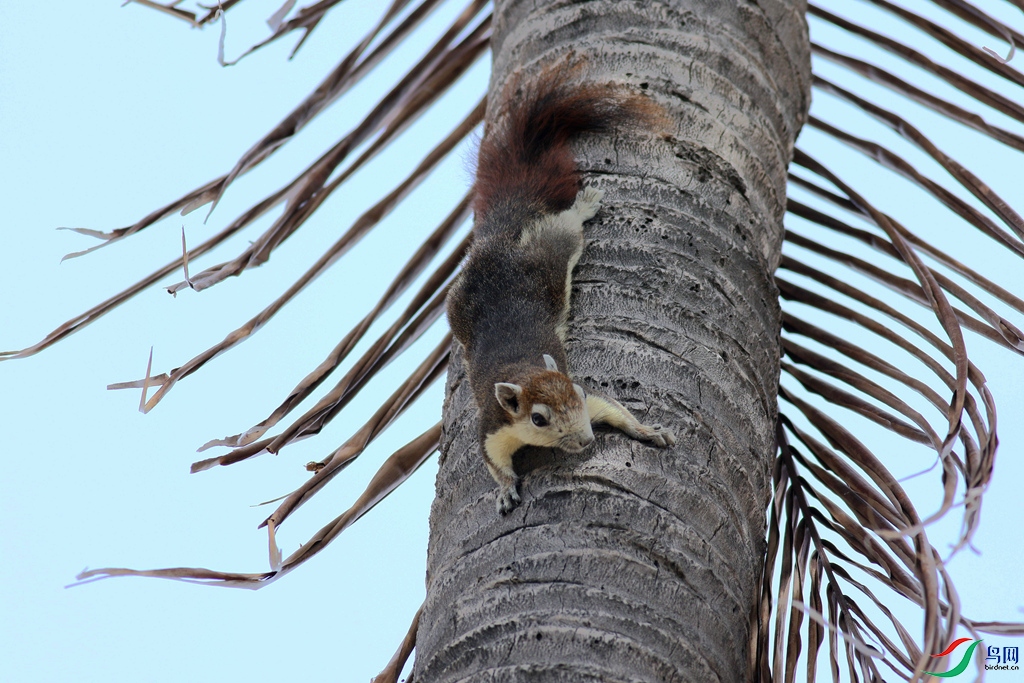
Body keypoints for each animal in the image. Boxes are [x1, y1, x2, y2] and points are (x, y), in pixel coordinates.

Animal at [446, 66, 671, 511]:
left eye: (578, 394)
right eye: (538, 418)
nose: (585, 440)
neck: (525, 370)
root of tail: (496, 243)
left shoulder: (590, 398)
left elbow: (614, 408)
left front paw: (646, 431)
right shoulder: (492, 427)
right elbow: (493, 462)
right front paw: (505, 491)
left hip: (549, 256)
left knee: (565, 225)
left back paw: (584, 204)